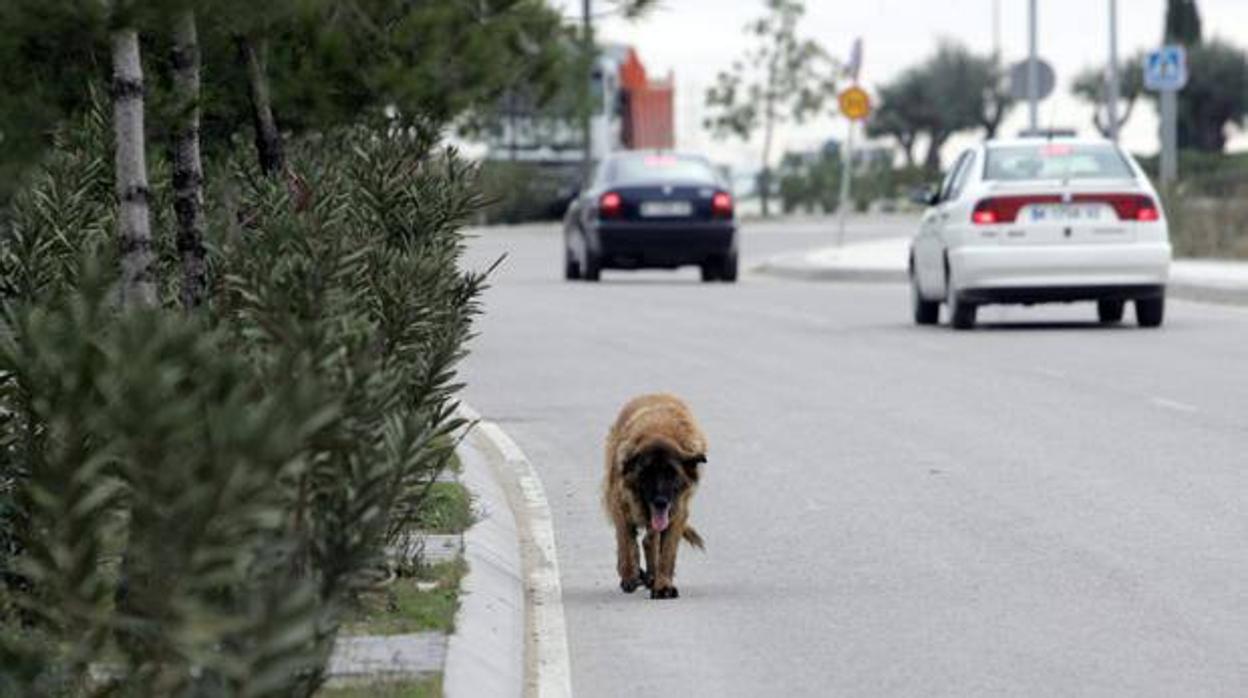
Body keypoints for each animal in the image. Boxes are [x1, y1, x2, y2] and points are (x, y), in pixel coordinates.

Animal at [606, 394, 708, 601]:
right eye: (647, 474)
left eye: (671, 473)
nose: (660, 502)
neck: (659, 431)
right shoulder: (620, 504)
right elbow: (626, 543)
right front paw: (629, 575)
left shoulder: (677, 512)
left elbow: (667, 552)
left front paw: (663, 585)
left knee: (649, 540)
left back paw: (651, 576)